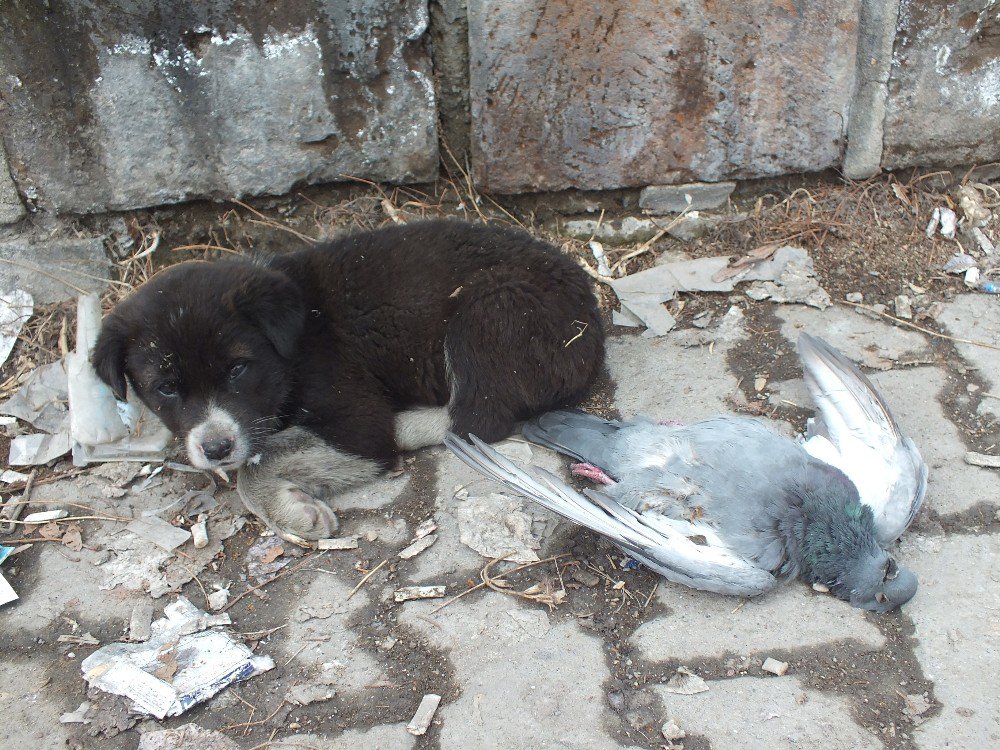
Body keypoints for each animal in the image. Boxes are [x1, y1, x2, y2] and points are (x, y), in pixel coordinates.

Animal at [94, 220, 600, 544]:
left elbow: (256, 466)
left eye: (237, 370)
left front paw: (292, 512)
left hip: (489, 311)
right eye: (165, 388)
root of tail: (591, 314)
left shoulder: (355, 421)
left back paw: (409, 425)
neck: (291, 353)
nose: (216, 448)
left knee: (478, 417)